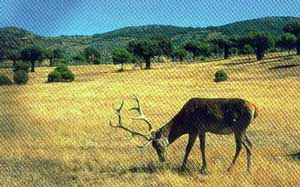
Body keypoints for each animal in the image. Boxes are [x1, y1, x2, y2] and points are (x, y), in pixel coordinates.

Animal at [110, 95, 258, 175]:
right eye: (153, 146)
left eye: (158, 145)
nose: (162, 159)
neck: (185, 121)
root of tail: (255, 108)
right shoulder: (199, 130)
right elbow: (195, 147)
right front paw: (194, 167)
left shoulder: (197, 128)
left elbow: (194, 148)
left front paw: (195, 168)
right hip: (241, 129)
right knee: (248, 144)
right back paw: (247, 170)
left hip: (239, 128)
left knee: (241, 146)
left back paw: (230, 168)